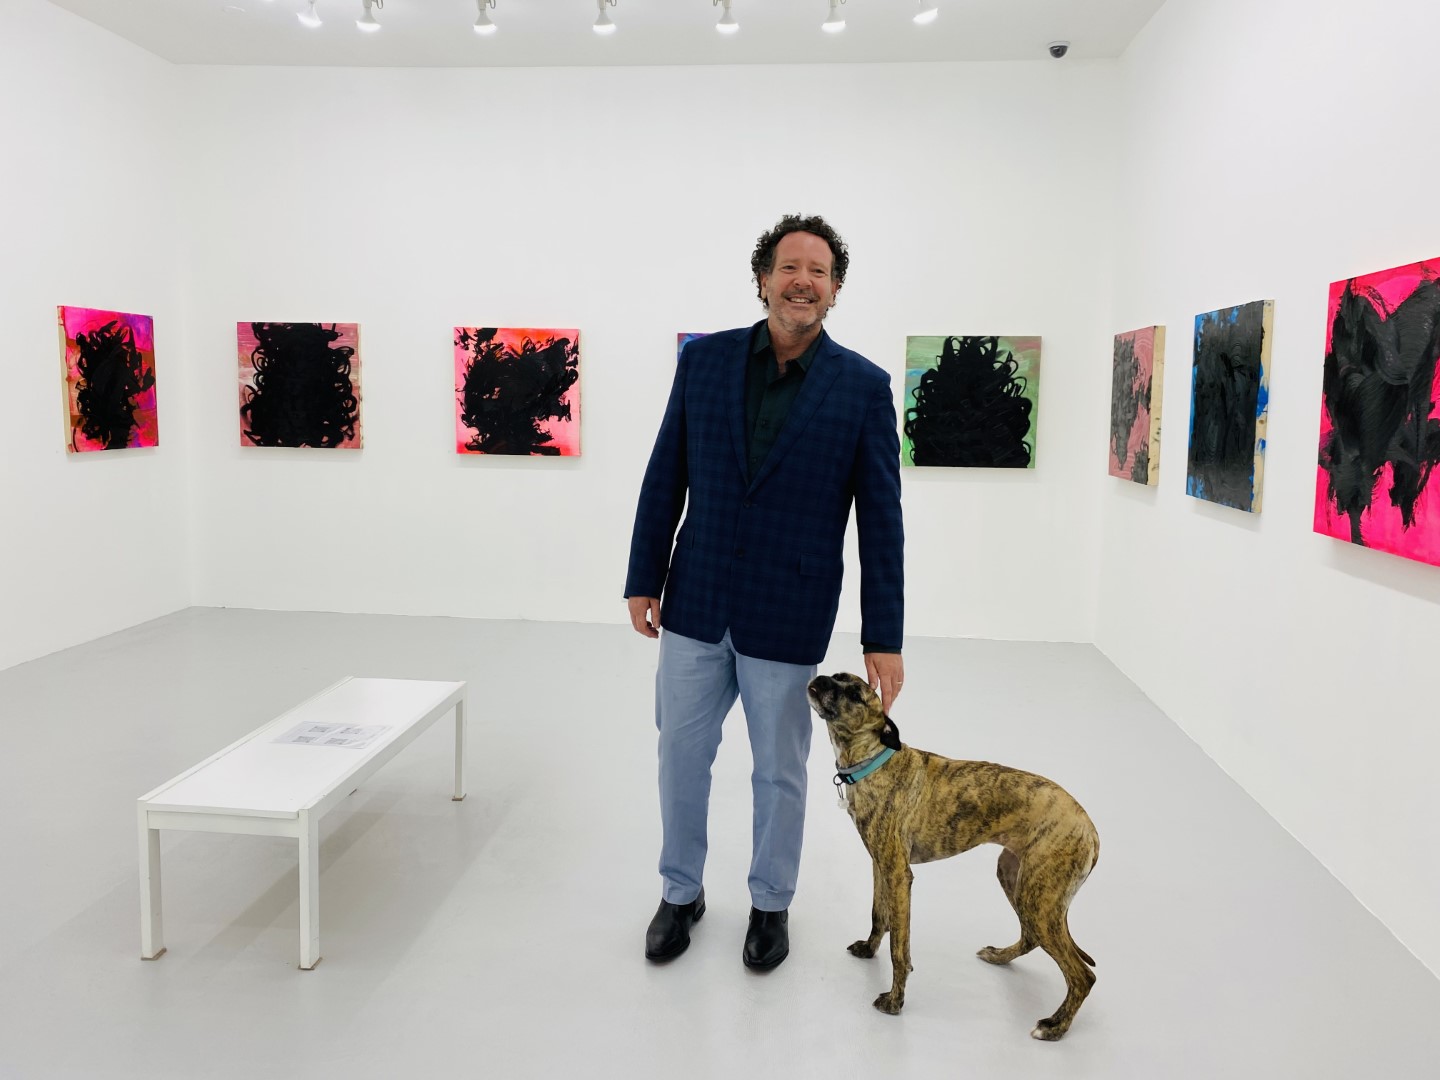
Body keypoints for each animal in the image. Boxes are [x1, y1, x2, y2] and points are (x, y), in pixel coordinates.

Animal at [807, 672, 1100, 1040]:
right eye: (838, 677)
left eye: (856, 694)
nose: (820, 678)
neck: (875, 759)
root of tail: (1091, 829)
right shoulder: (879, 864)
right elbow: (878, 915)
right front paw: (869, 950)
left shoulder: (899, 875)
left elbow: (899, 947)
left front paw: (895, 1001)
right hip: (1016, 878)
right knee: (1031, 937)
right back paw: (1000, 957)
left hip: (1039, 898)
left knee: (1082, 975)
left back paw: (1054, 1026)